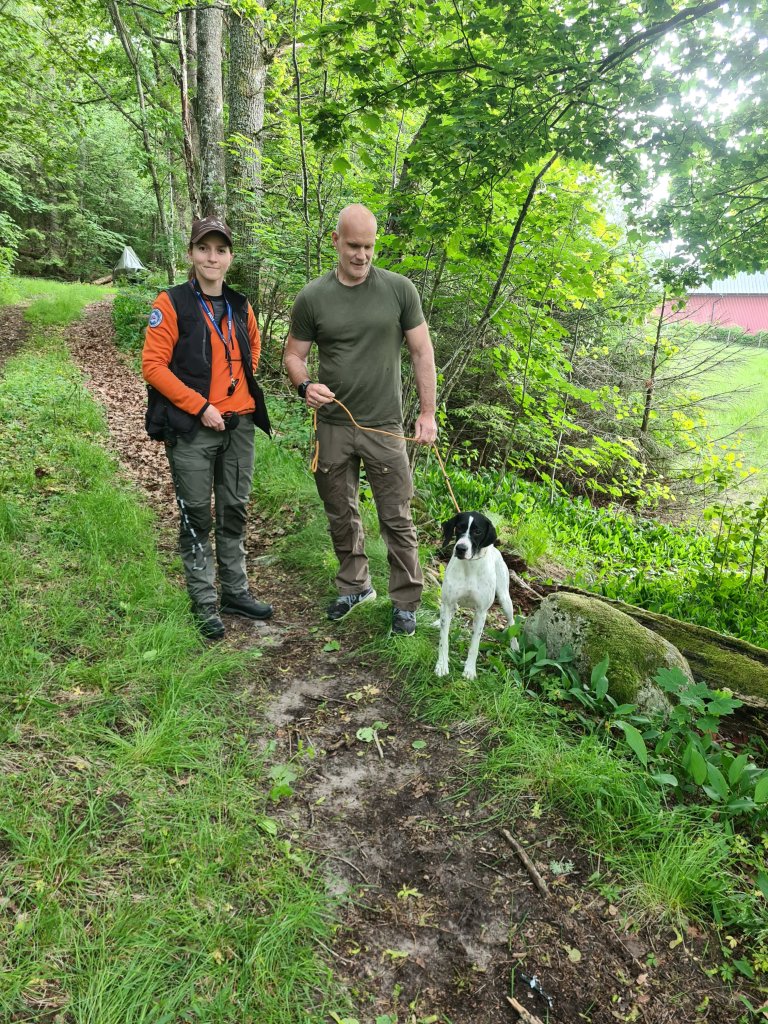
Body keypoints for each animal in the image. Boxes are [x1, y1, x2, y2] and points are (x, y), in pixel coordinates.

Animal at [436, 512, 520, 679]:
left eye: (477, 531)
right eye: (459, 527)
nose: (461, 548)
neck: (470, 566)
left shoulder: (481, 612)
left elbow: (474, 645)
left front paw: (469, 670)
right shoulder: (447, 603)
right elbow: (444, 639)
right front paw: (442, 665)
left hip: (505, 599)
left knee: (512, 622)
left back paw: (514, 646)